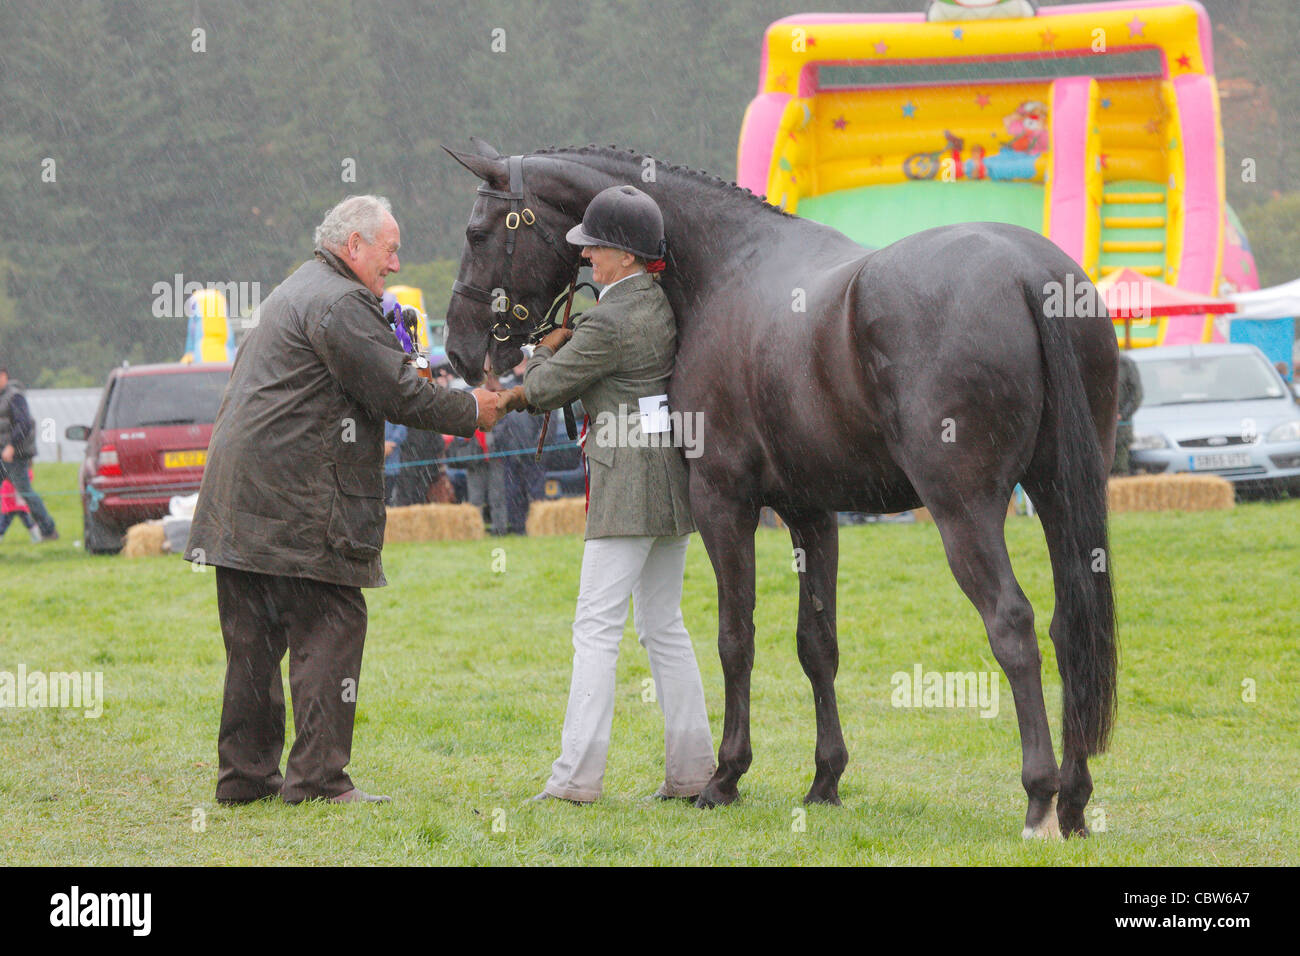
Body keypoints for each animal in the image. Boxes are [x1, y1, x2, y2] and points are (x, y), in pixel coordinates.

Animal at [442, 139, 1118, 838]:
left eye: (477, 232)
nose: (460, 352)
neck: (723, 270)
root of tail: (1025, 272)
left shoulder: (723, 503)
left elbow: (734, 638)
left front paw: (724, 777)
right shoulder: (811, 513)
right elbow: (816, 644)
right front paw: (825, 780)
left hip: (964, 510)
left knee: (1012, 624)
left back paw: (1039, 797)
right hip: (1060, 493)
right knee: (1071, 627)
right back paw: (1074, 799)